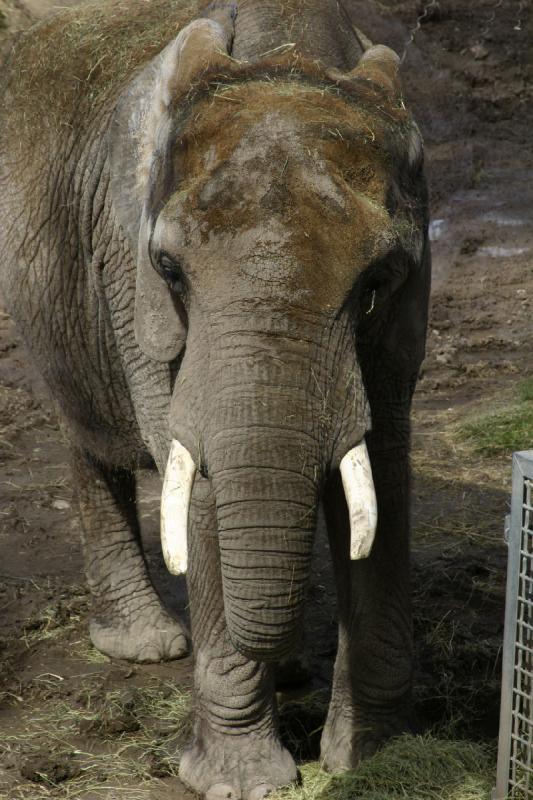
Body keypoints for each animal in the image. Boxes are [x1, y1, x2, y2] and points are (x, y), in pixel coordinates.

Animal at [0, 0, 428, 796]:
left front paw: (377, 759)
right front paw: (244, 782)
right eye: (169, 269)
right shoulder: (130, 275)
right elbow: (196, 482)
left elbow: (382, 475)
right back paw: (149, 646)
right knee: (86, 431)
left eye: (377, 282)